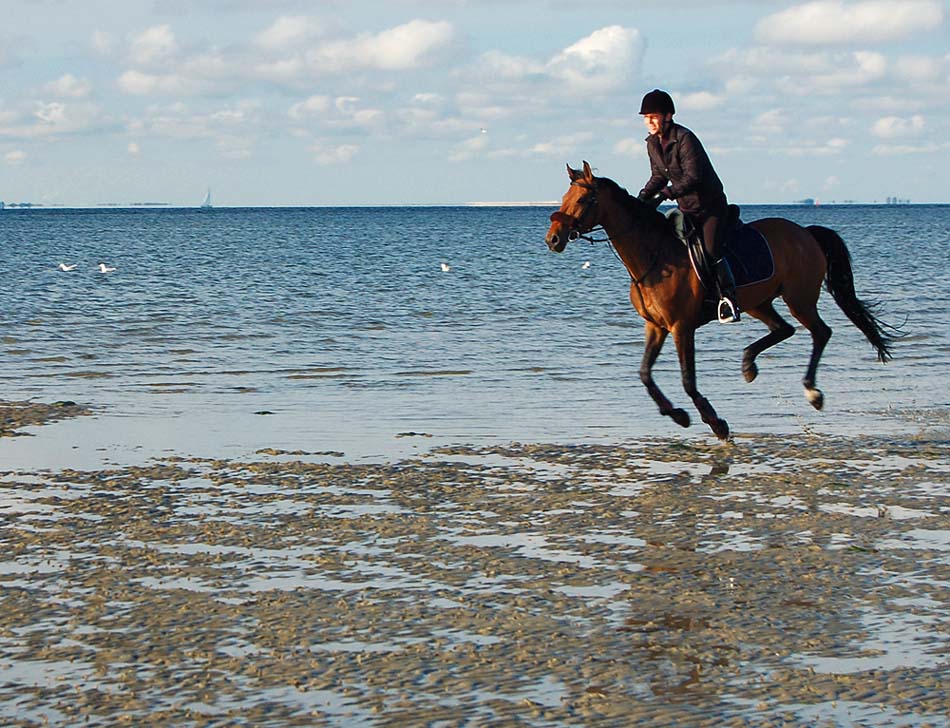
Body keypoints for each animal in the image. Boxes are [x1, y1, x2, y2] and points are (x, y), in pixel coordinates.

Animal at [548, 162, 896, 440]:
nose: (552, 238)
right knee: (784, 329)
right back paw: (749, 364)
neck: (654, 257)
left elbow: (688, 380)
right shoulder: (656, 327)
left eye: (582, 199)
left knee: (820, 332)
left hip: (799, 299)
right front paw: (678, 415)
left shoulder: (681, 327)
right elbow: (645, 374)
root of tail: (805, 232)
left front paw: (714, 422)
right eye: (563, 198)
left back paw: (811, 391)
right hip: (758, 302)